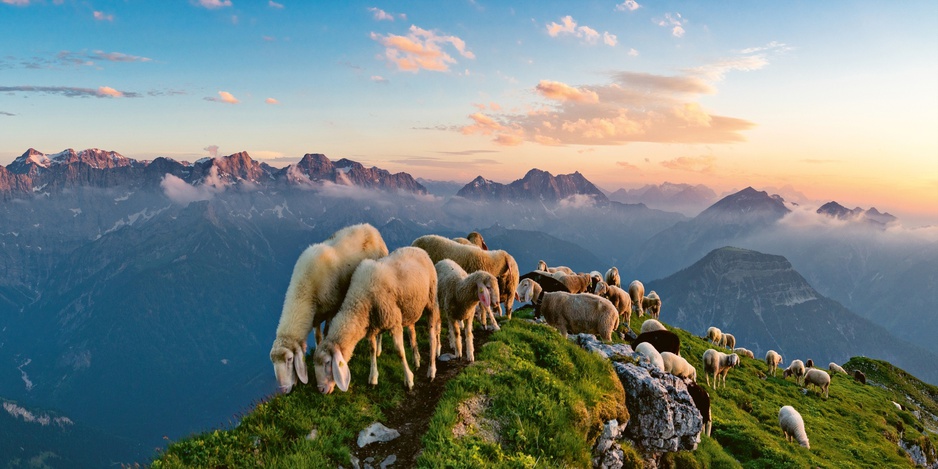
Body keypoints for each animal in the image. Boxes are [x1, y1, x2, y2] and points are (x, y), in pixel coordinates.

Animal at [268, 222, 390, 392]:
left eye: (289, 359)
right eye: (273, 362)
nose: (284, 390)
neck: (304, 288)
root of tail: (370, 227)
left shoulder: (332, 309)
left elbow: (326, 333)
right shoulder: (315, 317)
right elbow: (318, 337)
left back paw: (378, 349)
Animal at [308, 247, 436, 394]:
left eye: (327, 363)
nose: (321, 390)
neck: (359, 299)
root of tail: (418, 249)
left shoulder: (394, 323)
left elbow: (399, 352)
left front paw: (409, 380)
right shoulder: (371, 326)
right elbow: (372, 350)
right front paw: (373, 378)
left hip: (431, 299)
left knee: (432, 336)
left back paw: (431, 371)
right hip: (410, 308)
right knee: (412, 331)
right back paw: (416, 360)